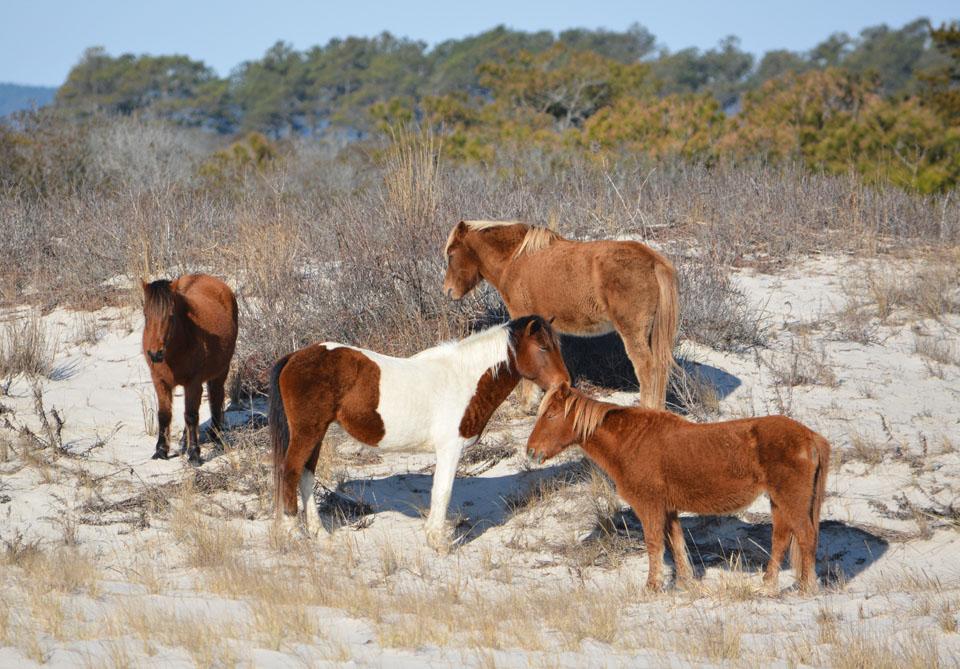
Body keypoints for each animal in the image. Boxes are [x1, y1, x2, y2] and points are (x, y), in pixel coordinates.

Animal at [142, 274, 238, 465]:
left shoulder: (193, 383)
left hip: (221, 370)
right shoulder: (160, 381)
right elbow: (164, 415)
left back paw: (216, 435)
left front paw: (194, 454)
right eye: (145, 314)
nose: (155, 354)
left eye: (171, 316)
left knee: (216, 397)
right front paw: (161, 451)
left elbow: (192, 415)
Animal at [269, 315, 570, 551]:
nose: (565, 385)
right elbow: (443, 492)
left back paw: (318, 533)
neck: (464, 378)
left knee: (306, 476)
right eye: (543, 347)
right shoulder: (450, 448)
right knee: (290, 472)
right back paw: (293, 534)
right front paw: (438, 542)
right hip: (307, 432)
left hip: (316, 433)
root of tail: (293, 357)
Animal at [443, 220, 678, 410]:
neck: (514, 260)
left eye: (451, 254)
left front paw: (527, 404)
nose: (447, 291)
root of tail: (653, 261)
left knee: (646, 368)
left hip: (633, 332)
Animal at [526, 382, 829, 591]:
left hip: (790, 500)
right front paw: (683, 583)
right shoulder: (668, 508)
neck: (631, 442)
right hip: (778, 501)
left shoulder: (649, 506)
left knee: (806, 536)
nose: (531, 451)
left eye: (551, 415)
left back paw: (805, 588)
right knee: (781, 539)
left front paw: (652, 587)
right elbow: (676, 544)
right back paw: (767, 585)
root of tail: (810, 437)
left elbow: (654, 545)